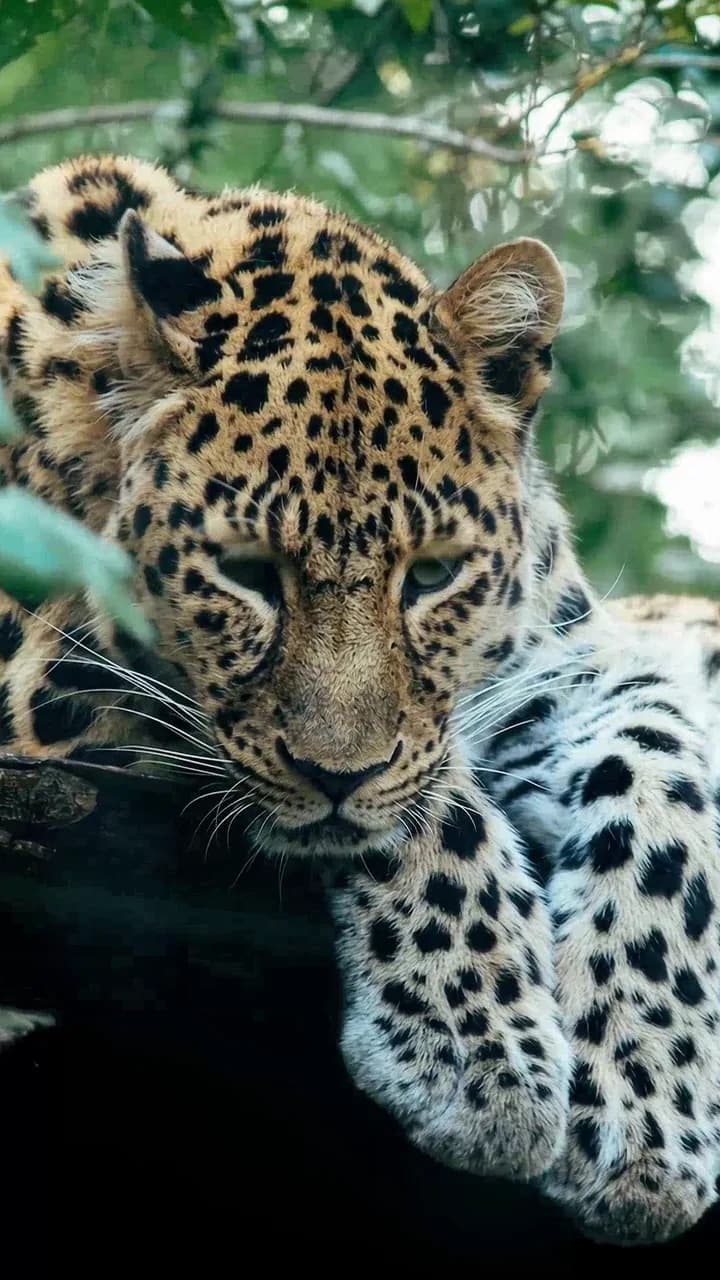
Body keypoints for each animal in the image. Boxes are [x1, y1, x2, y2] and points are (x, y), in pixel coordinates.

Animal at [0, 154, 719, 1247]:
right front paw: (481, 1059)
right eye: (246, 571)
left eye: (433, 575)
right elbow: (431, 797)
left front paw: (646, 1104)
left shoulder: (566, 665)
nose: (337, 774)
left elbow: (664, 789)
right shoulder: (55, 685)